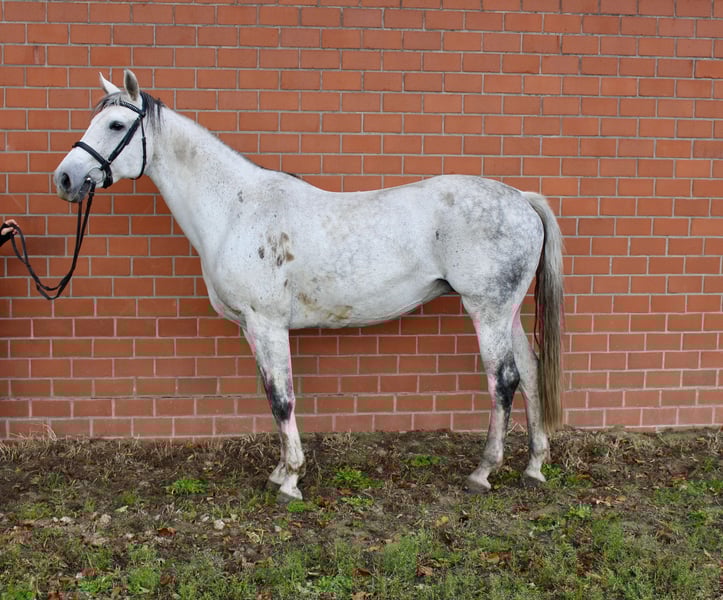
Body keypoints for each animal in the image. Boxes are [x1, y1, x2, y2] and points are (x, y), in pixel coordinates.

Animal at [54, 70, 564, 502]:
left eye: (117, 124)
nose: (65, 178)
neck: (237, 208)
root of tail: (521, 199)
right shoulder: (252, 328)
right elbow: (271, 394)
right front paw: (280, 471)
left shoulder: (267, 324)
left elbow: (281, 399)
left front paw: (291, 480)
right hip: (506, 312)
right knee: (531, 370)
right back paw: (534, 467)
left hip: (486, 310)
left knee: (504, 380)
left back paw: (483, 471)